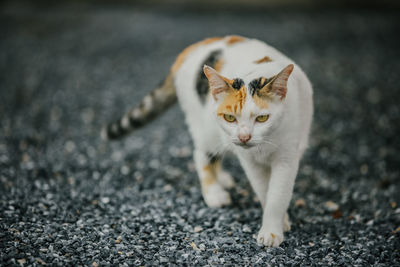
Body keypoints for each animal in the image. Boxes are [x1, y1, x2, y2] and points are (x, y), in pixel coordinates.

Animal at [101, 36, 314, 249]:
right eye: (230, 117)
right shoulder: (249, 161)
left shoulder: (287, 157)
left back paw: (223, 178)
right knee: (201, 155)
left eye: (262, 118)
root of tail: (196, 45)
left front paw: (274, 227)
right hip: (207, 128)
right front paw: (276, 225)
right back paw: (214, 192)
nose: (244, 137)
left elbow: (278, 194)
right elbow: (264, 190)